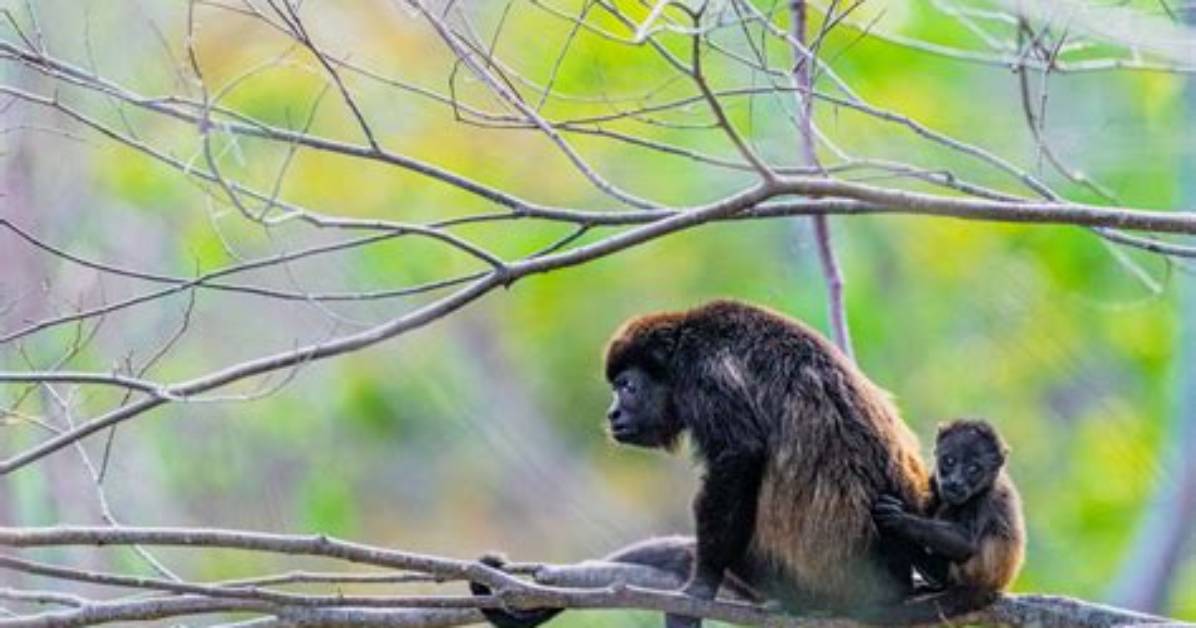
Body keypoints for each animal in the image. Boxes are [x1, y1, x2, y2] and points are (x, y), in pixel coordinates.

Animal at [871, 418, 1026, 622]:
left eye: (973, 469)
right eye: (949, 461)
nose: (955, 482)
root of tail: (988, 587)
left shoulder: (983, 499)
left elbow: (966, 544)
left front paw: (902, 521)